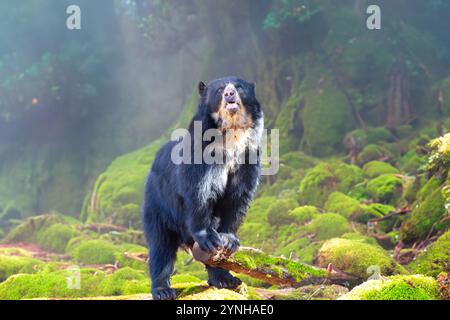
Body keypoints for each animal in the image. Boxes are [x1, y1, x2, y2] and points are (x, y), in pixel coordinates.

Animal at [142, 77, 264, 300]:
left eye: (239, 87)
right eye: (220, 89)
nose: (230, 94)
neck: (231, 137)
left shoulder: (248, 158)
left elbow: (238, 198)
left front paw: (229, 240)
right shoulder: (200, 157)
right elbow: (199, 192)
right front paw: (208, 237)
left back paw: (225, 278)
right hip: (158, 205)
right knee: (161, 247)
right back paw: (163, 290)